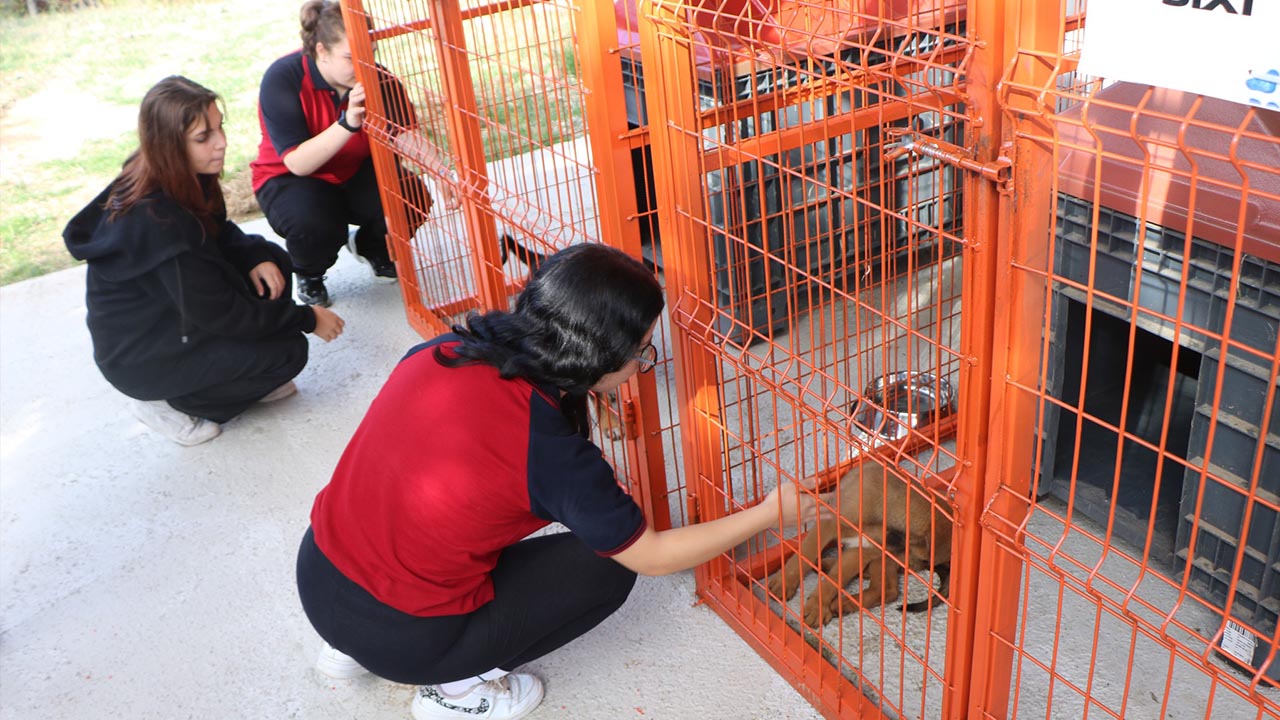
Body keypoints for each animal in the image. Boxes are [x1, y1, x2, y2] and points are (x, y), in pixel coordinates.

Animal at [757, 456, 952, 625]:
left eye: (925, 559)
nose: (919, 564)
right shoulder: (829, 524)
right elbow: (806, 552)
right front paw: (785, 583)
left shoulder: (864, 549)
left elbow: (836, 578)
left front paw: (818, 606)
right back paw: (829, 567)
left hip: (882, 559)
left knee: (885, 590)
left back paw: (843, 603)